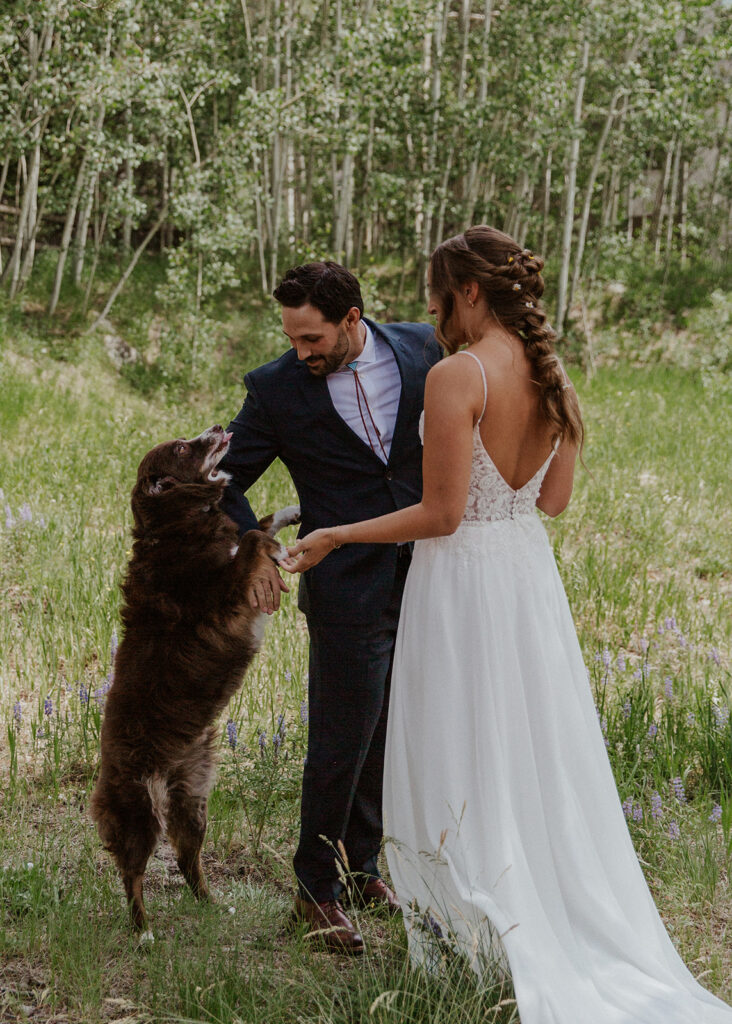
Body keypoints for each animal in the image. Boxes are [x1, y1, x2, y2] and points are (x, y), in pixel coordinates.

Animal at [90, 423, 298, 937]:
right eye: (184, 448)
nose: (221, 427)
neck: (177, 526)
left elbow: (260, 522)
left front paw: (292, 513)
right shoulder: (222, 591)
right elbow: (251, 536)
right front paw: (277, 546)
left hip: (194, 800)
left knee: (188, 860)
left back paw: (211, 904)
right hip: (139, 810)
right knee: (132, 872)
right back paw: (143, 930)